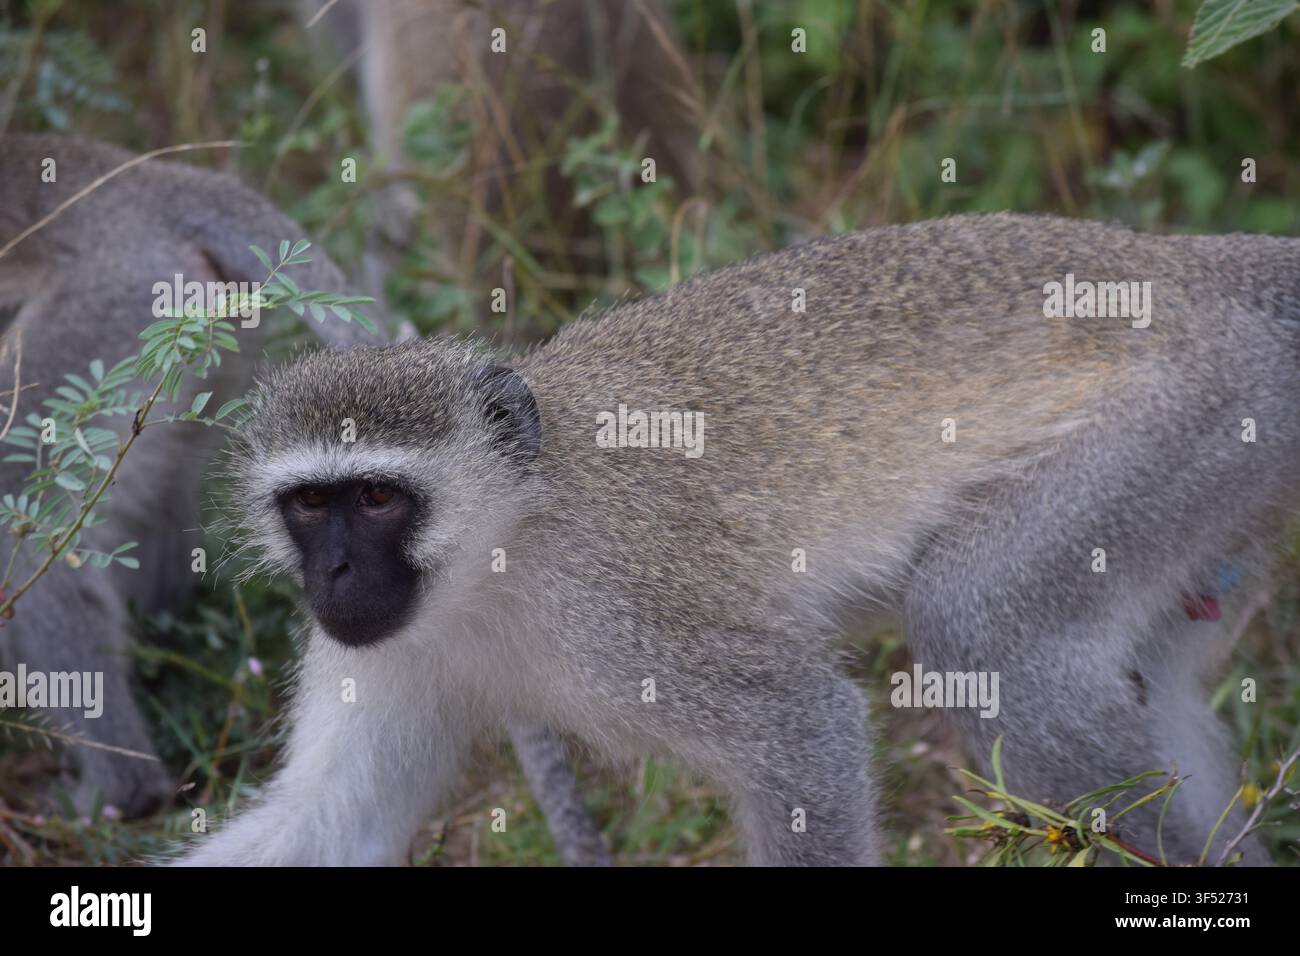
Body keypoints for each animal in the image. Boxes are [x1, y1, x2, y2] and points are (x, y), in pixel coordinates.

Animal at [172, 212, 1298, 865]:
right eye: (310, 506)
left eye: (377, 500)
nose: (336, 572)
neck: (498, 555)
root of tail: (1194, 264)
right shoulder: (391, 651)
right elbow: (331, 819)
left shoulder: (622, 607)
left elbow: (806, 731)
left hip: (1188, 414)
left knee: (986, 626)